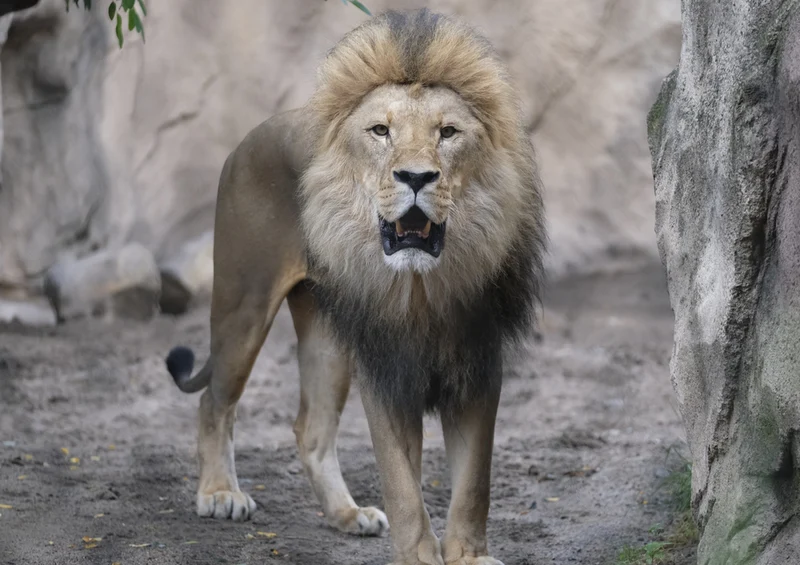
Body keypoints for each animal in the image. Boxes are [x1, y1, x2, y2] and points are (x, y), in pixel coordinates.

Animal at [165, 8, 545, 565]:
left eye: (448, 132)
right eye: (380, 131)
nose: (416, 177)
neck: (420, 290)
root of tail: (247, 138)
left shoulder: (477, 363)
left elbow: (474, 483)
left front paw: (468, 555)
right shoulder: (385, 370)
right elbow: (403, 484)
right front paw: (420, 556)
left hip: (327, 334)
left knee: (311, 430)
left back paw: (346, 514)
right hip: (244, 304)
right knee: (214, 402)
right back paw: (219, 494)